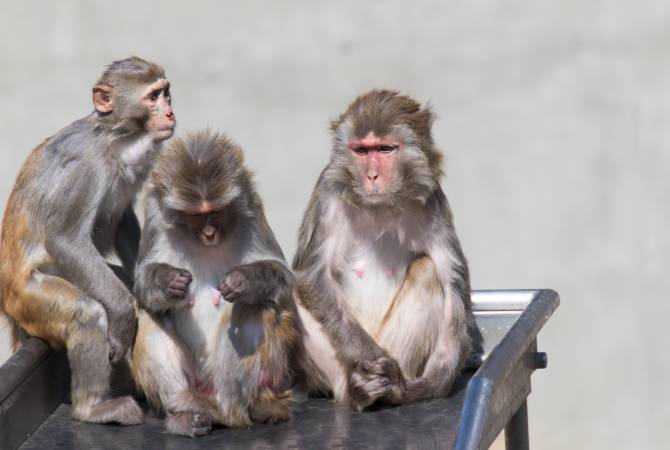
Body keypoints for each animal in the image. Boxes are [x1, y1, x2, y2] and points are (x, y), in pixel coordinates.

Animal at [0, 56, 176, 426]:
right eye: (153, 97)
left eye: (166, 92)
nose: (169, 113)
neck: (116, 139)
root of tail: (7, 303)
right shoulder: (86, 168)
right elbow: (65, 239)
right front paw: (123, 316)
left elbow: (122, 220)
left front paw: (153, 277)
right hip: (29, 298)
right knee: (87, 312)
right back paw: (92, 408)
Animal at [131, 129, 300, 436]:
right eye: (196, 215)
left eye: (217, 210)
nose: (209, 233)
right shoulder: (155, 218)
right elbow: (143, 280)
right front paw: (168, 281)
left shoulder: (252, 210)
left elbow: (281, 275)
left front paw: (244, 280)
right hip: (196, 380)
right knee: (150, 315)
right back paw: (185, 413)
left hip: (264, 383)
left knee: (252, 309)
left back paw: (231, 410)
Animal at [292, 89, 476, 412]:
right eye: (361, 151)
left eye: (385, 149)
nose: (372, 176)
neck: (380, 207)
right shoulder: (327, 193)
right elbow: (312, 276)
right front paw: (373, 361)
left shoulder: (434, 201)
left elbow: (452, 282)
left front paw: (436, 381)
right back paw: (360, 390)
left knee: (427, 271)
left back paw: (394, 390)